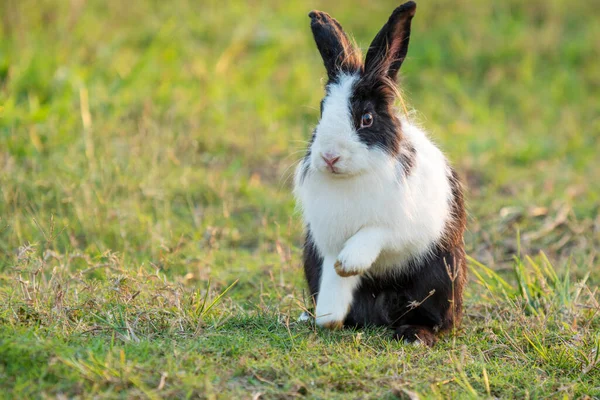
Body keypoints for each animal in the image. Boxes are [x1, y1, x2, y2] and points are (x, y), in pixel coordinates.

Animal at [292, 0, 466, 346]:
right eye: (321, 112)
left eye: (367, 119)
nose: (329, 156)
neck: (352, 177)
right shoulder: (328, 242)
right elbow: (335, 278)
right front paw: (328, 317)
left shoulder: (403, 227)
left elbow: (375, 234)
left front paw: (350, 262)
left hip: (441, 275)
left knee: (437, 320)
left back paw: (414, 334)